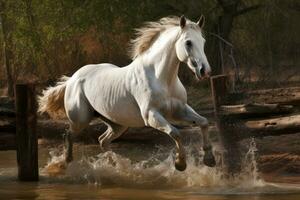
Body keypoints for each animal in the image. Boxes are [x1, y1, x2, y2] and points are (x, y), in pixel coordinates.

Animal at [38, 15, 216, 171]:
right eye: (188, 42)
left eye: (203, 42)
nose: (205, 71)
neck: (161, 78)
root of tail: (73, 79)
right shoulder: (151, 115)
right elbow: (175, 132)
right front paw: (180, 164)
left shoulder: (179, 111)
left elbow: (204, 122)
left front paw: (210, 159)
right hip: (80, 120)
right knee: (69, 136)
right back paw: (66, 163)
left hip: (118, 124)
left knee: (102, 140)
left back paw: (115, 165)